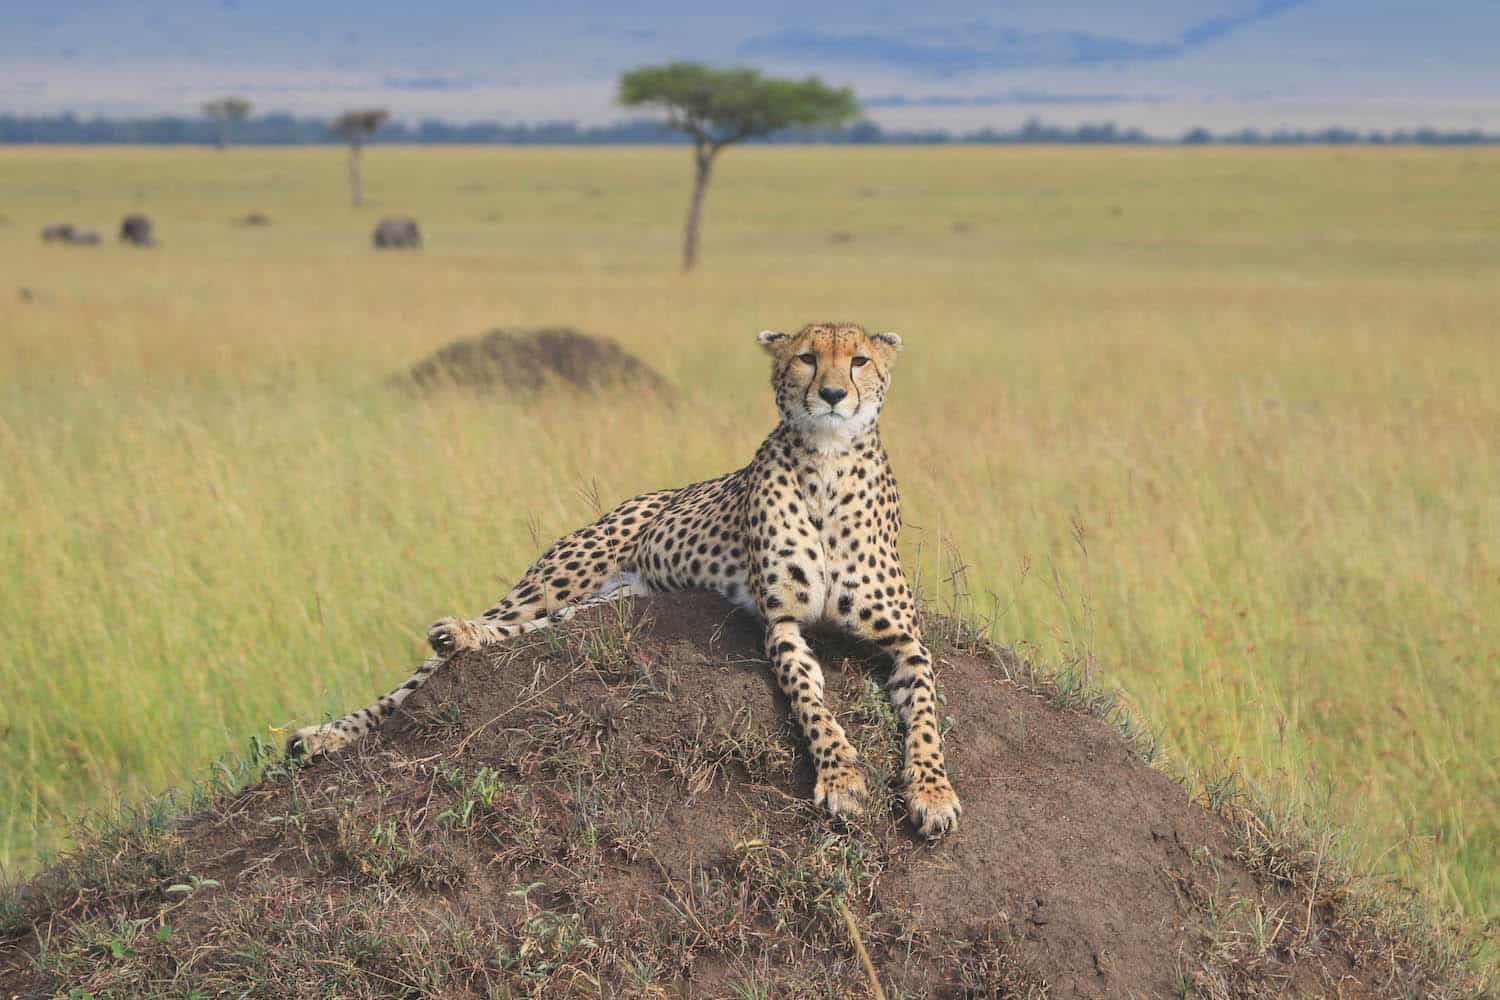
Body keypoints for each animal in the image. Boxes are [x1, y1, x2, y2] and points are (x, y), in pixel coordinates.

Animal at [288, 320, 966, 839]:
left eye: (859, 360)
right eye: (806, 357)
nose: (830, 393)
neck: (828, 464)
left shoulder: (905, 639)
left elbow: (926, 718)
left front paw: (932, 793)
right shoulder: (782, 624)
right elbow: (812, 704)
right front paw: (842, 777)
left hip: (598, 606)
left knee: (519, 634)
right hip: (560, 578)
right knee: (443, 658)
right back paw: (337, 725)